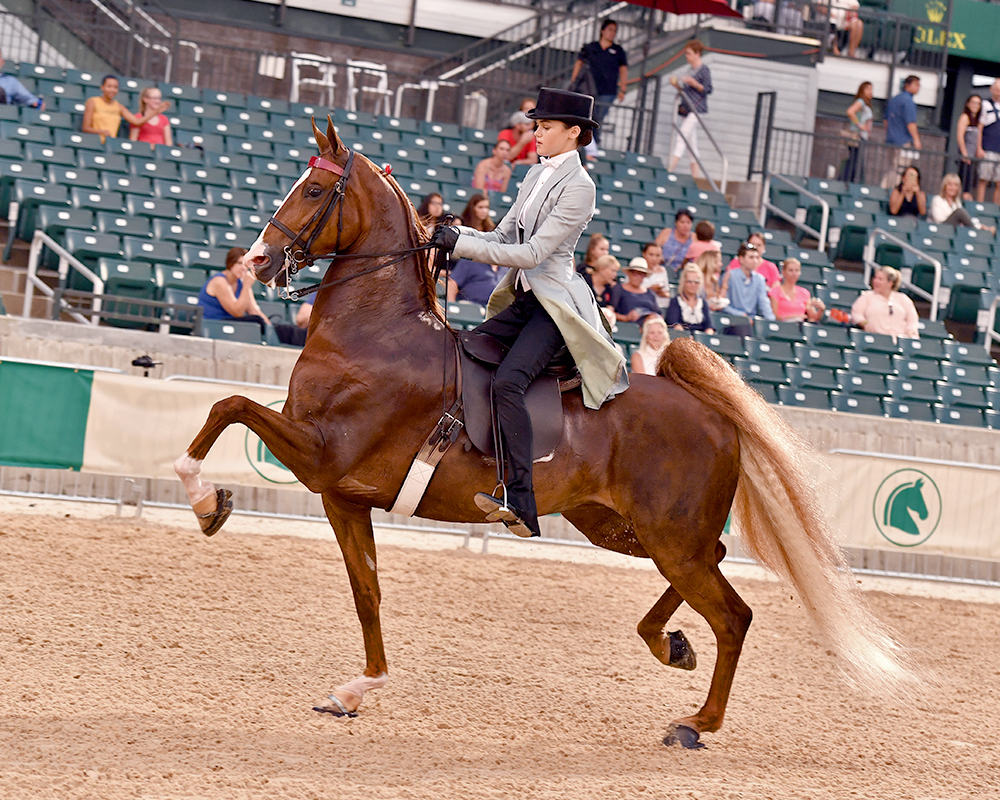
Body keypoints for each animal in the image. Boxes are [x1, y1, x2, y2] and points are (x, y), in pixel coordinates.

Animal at [176, 119, 916, 752]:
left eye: (315, 189)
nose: (259, 261)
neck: (375, 334)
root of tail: (706, 410)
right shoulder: (343, 494)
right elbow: (368, 593)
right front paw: (359, 689)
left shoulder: (323, 458)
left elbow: (227, 405)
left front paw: (207, 502)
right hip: (624, 528)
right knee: (718, 561)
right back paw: (668, 645)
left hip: (666, 537)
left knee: (734, 614)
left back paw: (695, 722)